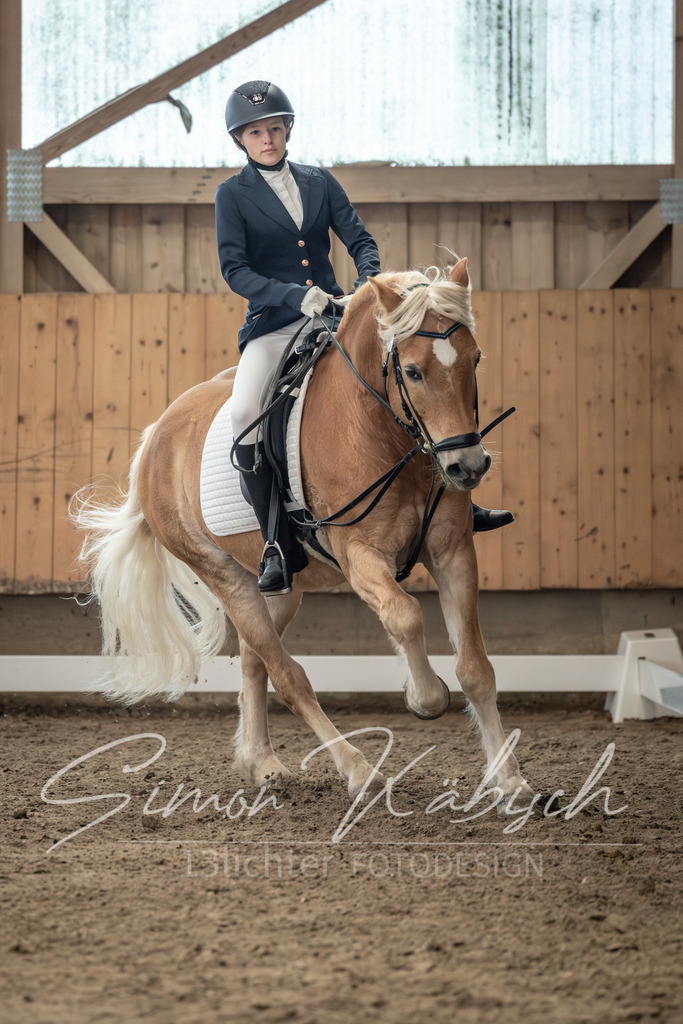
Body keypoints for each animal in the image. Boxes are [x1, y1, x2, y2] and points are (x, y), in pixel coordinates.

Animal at [73, 257, 532, 806]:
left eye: (475, 360)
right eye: (414, 371)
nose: (467, 466)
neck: (381, 432)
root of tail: (155, 437)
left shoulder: (453, 552)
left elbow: (476, 668)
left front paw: (509, 780)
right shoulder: (360, 555)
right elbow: (404, 616)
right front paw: (424, 697)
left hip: (281, 585)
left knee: (255, 661)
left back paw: (262, 763)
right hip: (224, 575)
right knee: (288, 675)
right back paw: (357, 770)